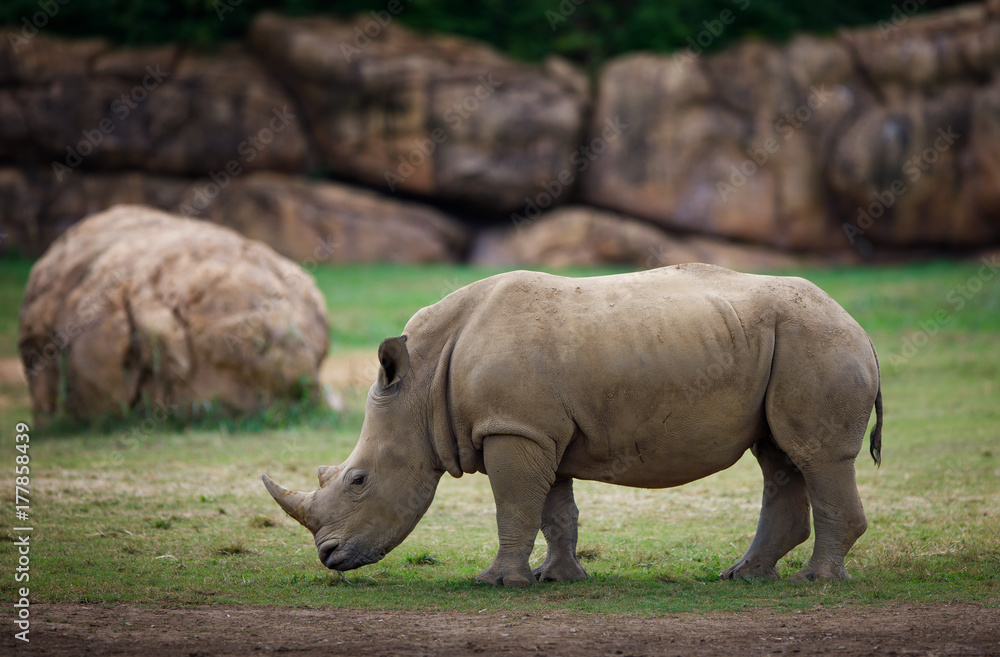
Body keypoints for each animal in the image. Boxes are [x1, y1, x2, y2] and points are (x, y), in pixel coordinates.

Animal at [263, 264, 883, 585]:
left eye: (358, 480)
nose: (328, 558)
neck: (420, 384)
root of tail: (859, 325)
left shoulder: (512, 428)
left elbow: (514, 505)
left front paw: (496, 582)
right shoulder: (535, 429)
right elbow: (553, 509)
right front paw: (555, 578)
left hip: (817, 340)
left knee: (817, 457)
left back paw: (815, 581)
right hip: (787, 343)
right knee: (779, 456)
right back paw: (745, 576)